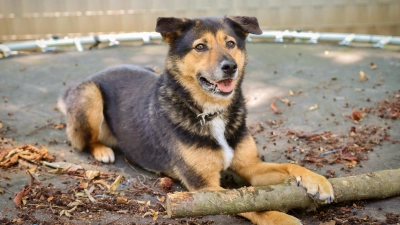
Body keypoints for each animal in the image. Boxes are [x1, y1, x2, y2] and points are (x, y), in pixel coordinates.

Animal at [58, 16, 334, 225]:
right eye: (200, 47)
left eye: (231, 43)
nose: (230, 67)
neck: (211, 112)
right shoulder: (205, 188)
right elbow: (245, 202)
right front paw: (280, 218)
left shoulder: (251, 168)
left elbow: (289, 166)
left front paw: (317, 181)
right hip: (90, 94)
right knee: (84, 141)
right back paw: (102, 150)